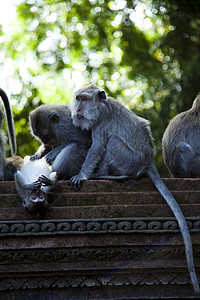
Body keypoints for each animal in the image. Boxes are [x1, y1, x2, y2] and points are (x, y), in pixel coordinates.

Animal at [69, 84, 200, 296]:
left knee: (112, 141)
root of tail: (148, 161)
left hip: (127, 160)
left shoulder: (102, 123)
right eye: (78, 98)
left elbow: (97, 147)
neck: (102, 106)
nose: (79, 109)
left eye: (85, 99)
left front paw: (83, 175)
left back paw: (104, 175)